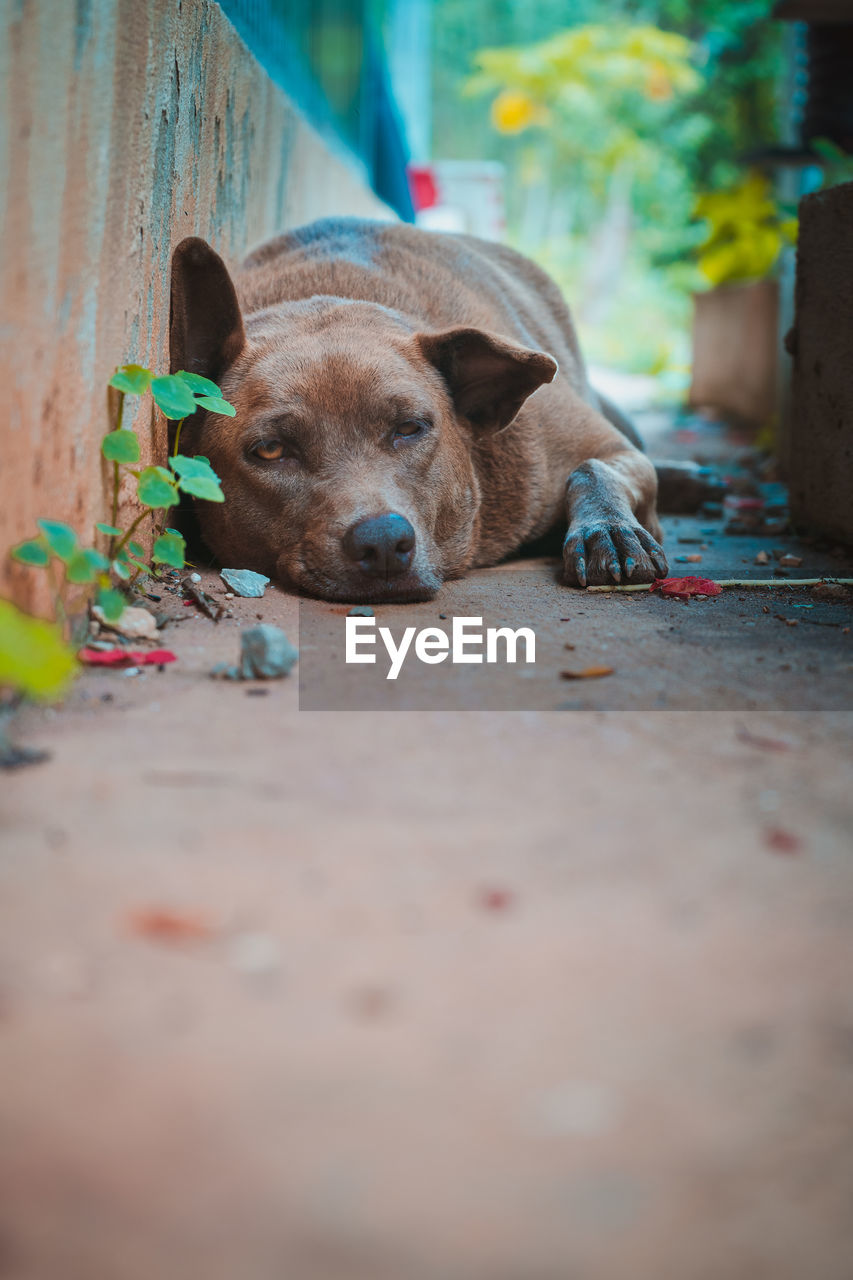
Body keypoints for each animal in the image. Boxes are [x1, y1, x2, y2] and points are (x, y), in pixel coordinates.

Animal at [171, 217, 696, 601]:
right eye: (270, 450)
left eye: (410, 428)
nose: (383, 541)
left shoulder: (605, 446)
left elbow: (593, 468)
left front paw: (607, 529)